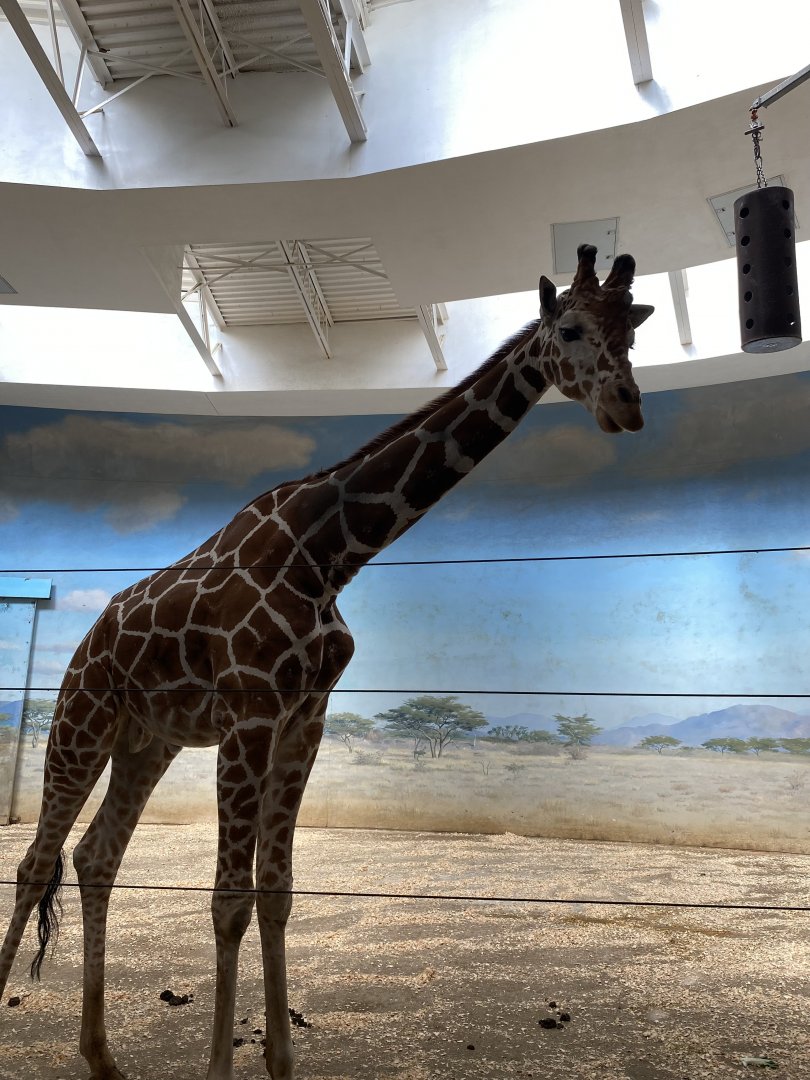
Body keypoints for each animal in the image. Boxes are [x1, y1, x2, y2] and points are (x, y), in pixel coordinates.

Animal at [0, 244, 652, 1080]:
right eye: (569, 329)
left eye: (630, 331)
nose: (627, 406)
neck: (330, 553)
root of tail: (85, 642)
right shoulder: (250, 711)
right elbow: (229, 898)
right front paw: (219, 1066)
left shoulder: (304, 716)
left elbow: (275, 891)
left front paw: (280, 1061)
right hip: (81, 722)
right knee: (34, 862)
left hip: (148, 741)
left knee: (94, 855)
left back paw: (103, 1059)